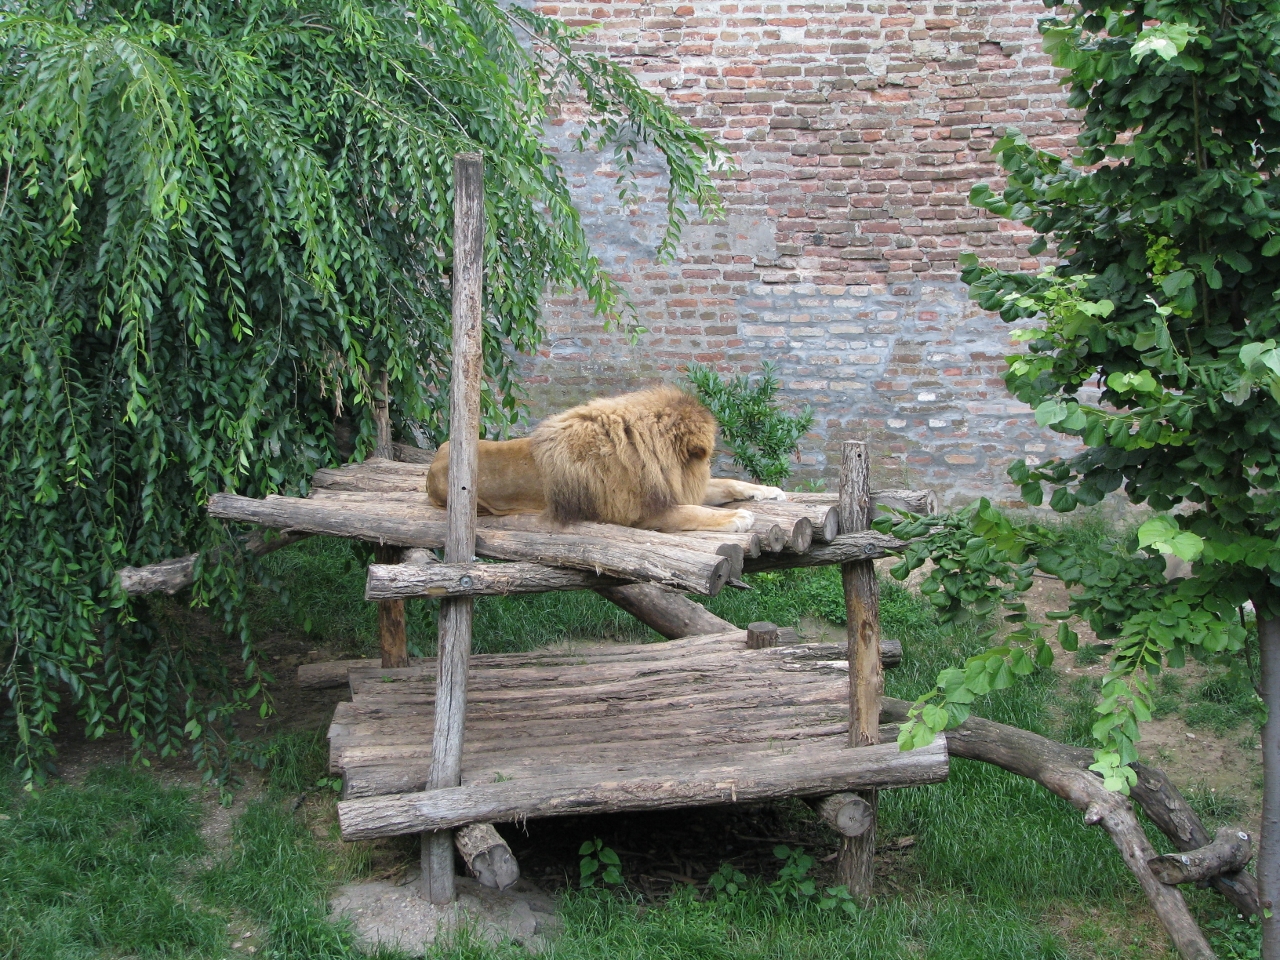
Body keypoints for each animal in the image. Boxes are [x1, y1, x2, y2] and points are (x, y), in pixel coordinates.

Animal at [426, 387, 787, 533]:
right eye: (708, 458)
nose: (709, 465)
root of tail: (435, 461)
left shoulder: (669, 486)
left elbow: (728, 483)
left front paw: (769, 490)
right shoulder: (639, 512)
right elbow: (692, 512)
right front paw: (737, 517)